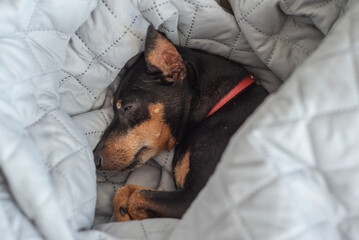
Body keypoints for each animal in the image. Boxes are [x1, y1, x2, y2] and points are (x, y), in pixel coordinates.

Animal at [94, 25, 268, 221]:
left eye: (127, 107)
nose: (94, 159)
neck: (222, 104)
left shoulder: (194, 198)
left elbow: (135, 197)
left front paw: (135, 216)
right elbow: (125, 191)